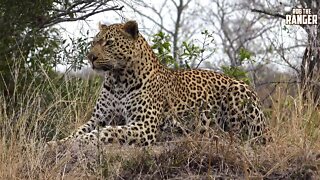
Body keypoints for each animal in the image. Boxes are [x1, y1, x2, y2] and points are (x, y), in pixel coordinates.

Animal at [58, 20, 268, 146]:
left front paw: (80, 141)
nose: (90, 57)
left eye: (109, 43)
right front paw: (60, 142)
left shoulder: (144, 125)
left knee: (241, 137)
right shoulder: (98, 118)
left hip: (238, 98)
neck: (118, 79)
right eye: (94, 42)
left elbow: (106, 132)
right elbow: (78, 131)